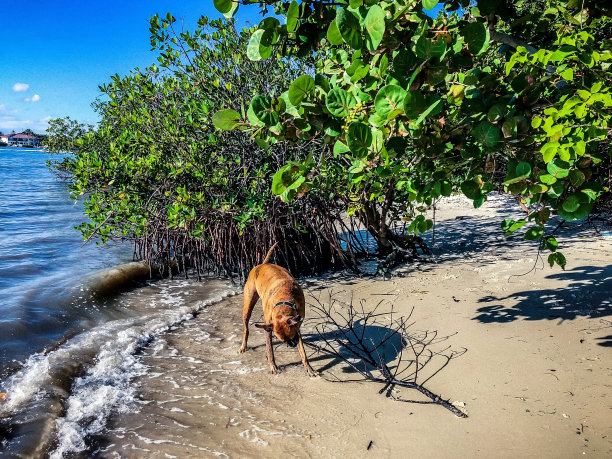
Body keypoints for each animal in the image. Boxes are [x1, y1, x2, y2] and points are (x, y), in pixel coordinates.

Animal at [238, 244, 318, 378]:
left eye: (292, 337)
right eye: (283, 340)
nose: (291, 345)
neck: (284, 302)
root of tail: (262, 265)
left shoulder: (297, 326)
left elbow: (303, 353)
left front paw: (309, 368)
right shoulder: (268, 328)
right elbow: (270, 350)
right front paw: (273, 366)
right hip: (248, 305)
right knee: (246, 328)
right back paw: (243, 345)